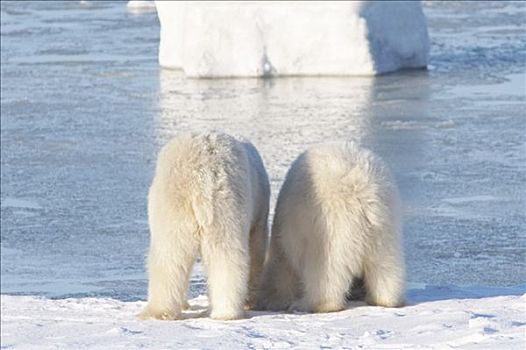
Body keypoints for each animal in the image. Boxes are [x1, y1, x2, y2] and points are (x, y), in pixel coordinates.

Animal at [258, 141, 406, 314]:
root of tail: (362, 192)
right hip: (386, 227)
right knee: (386, 266)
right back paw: (386, 300)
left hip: (330, 228)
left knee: (326, 272)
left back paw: (313, 304)